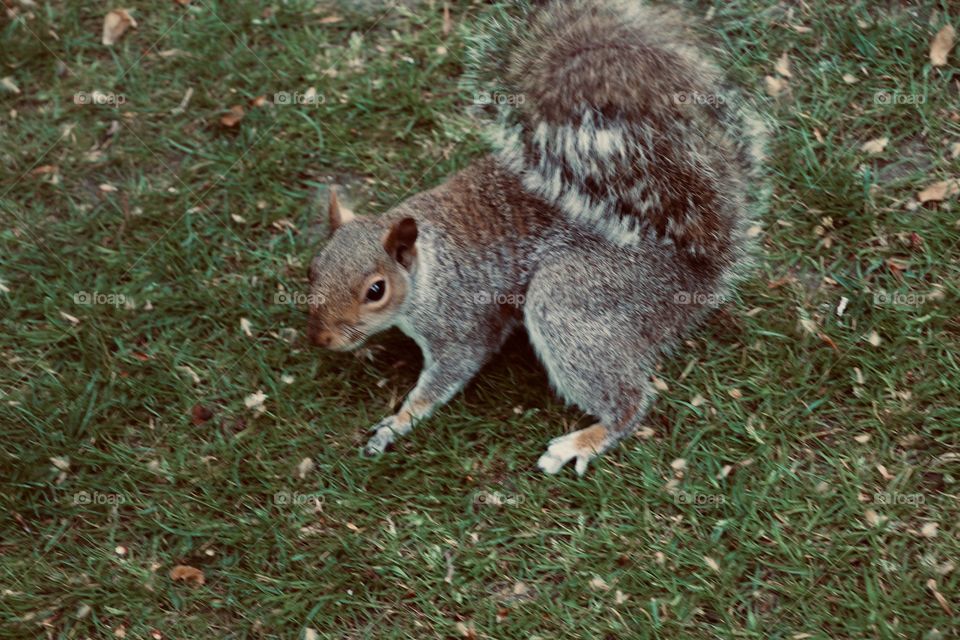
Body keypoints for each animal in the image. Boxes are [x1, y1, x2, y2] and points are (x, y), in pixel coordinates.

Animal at [306, 0, 769, 475]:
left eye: (375, 290)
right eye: (312, 269)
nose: (320, 339)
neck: (429, 265)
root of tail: (695, 272)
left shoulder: (462, 322)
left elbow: (450, 370)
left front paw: (398, 422)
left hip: (573, 298)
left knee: (630, 402)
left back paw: (582, 442)